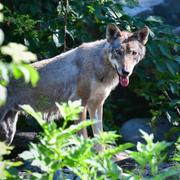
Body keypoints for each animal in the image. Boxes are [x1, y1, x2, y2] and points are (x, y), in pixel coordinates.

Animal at [0, 24, 149, 145]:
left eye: (133, 53)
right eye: (118, 52)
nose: (126, 72)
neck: (100, 66)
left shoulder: (96, 105)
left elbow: (99, 140)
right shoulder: (79, 104)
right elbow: (84, 138)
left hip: (9, 133)